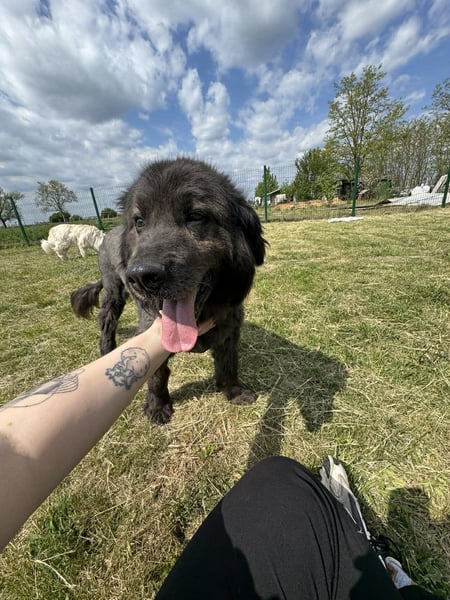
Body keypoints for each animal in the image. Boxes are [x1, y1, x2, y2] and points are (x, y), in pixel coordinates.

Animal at [70, 157, 267, 424]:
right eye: (139, 222)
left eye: (195, 216)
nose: (141, 276)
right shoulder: (151, 334)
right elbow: (156, 376)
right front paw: (157, 405)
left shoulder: (230, 330)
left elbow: (228, 364)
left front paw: (234, 392)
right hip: (114, 293)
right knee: (106, 322)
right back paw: (106, 349)